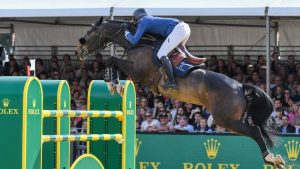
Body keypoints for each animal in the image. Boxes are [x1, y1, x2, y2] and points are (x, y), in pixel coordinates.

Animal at [75, 17, 286, 168]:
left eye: (90, 32)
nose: (78, 51)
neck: (138, 43)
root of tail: (240, 87)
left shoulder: (138, 71)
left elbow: (111, 60)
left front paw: (112, 81)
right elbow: (112, 61)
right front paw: (113, 83)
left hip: (226, 120)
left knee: (255, 131)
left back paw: (271, 159)